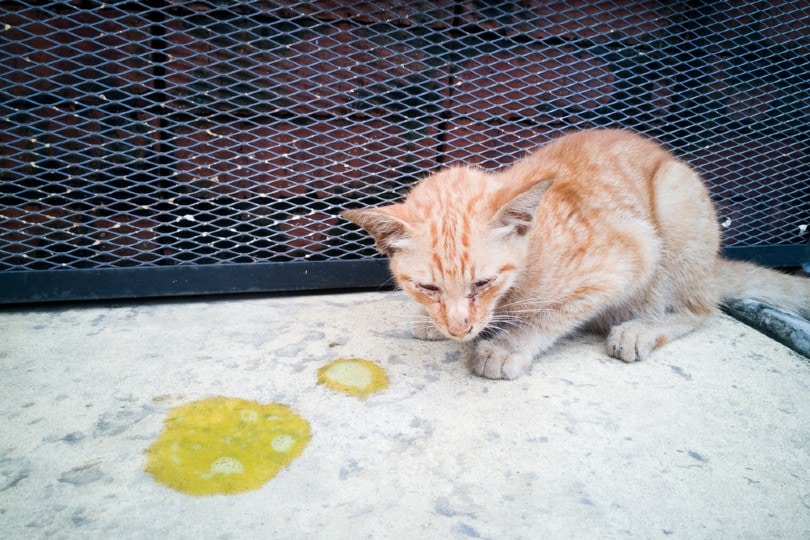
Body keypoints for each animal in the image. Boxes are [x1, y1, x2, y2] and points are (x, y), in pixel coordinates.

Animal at [340, 128, 808, 378]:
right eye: (428, 288)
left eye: (483, 282)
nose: (458, 327)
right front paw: (435, 323)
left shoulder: (629, 256)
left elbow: (550, 316)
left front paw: (508, 346)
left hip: (676, 204)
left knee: (700, 309)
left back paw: (641, 328)